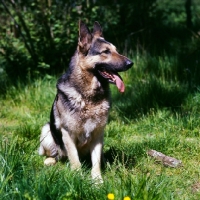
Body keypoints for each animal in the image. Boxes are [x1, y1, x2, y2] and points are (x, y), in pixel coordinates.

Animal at [38, 21, 133, 182]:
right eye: (105, 51)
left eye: (116, 50)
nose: (130, 63)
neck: (89, 96)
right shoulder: (68, 134)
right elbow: (75, 161)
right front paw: (78, 177)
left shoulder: (98, 134)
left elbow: (96, 162)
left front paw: (97, 180)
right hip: (47, 132)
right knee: (57, 155)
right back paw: (50, 160)